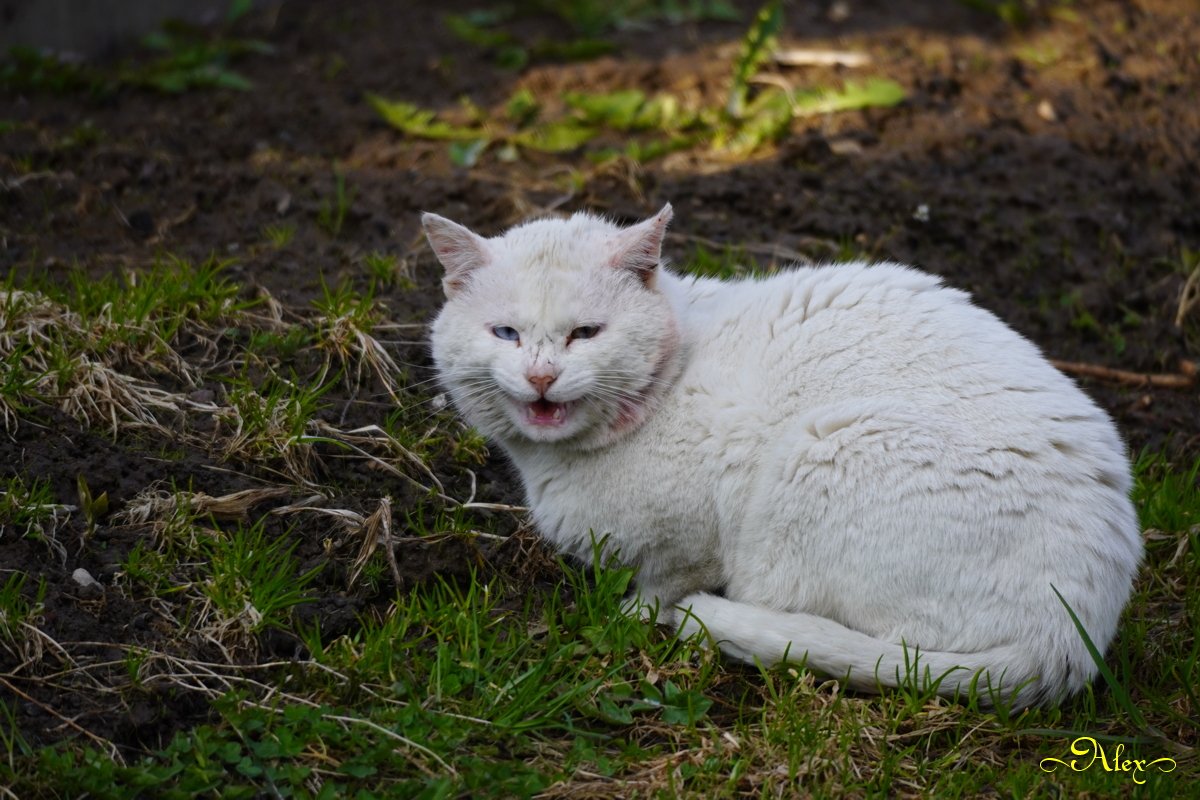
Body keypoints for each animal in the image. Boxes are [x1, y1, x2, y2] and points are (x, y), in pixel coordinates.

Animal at [424, 205, 1142, 705]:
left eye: (586, 333)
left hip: (824, 450)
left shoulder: (690, 539)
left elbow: (662, 583)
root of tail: (1071, 637)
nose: (542, 377)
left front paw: (631, 617)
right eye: (506, 333)